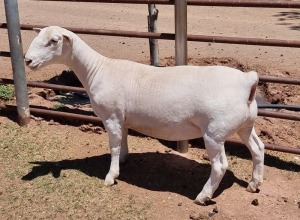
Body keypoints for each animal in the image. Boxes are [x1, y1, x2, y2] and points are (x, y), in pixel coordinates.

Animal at [26, 26, 264, 205]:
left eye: (54, 41)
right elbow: (122, 141)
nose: (27, 60)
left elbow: (113, 146)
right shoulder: (121, 117)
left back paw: (202, 197)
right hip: (245, 124)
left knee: (220, 165)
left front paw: (111, 176)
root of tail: (247, 81)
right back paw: (254, 184)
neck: (97, 69)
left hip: (215, 131)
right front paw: (123, 160)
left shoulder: (111, 116)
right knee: (258, 148)